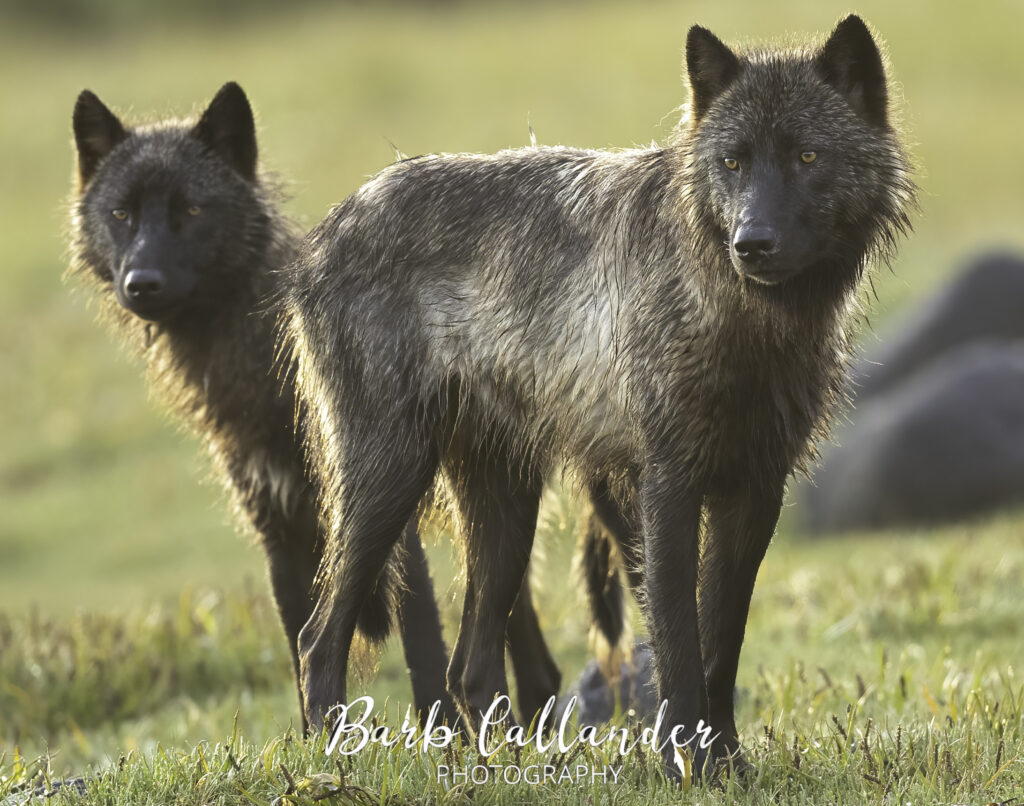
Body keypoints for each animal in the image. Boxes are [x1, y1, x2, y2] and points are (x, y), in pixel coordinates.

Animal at [283, 15, 913, 776]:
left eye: (808, 155)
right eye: (733, 162)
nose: (751, 243)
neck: (739, 316)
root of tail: (319, 239)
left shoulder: (755, 491)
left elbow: (720, 642)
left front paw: (727, 766)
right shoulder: (666, 484)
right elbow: (677, 641)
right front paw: (686, 768)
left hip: (505, 515)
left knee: (467, 667)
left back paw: (510, 770)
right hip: (389, 484)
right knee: (318, 638)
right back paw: (333, 755)